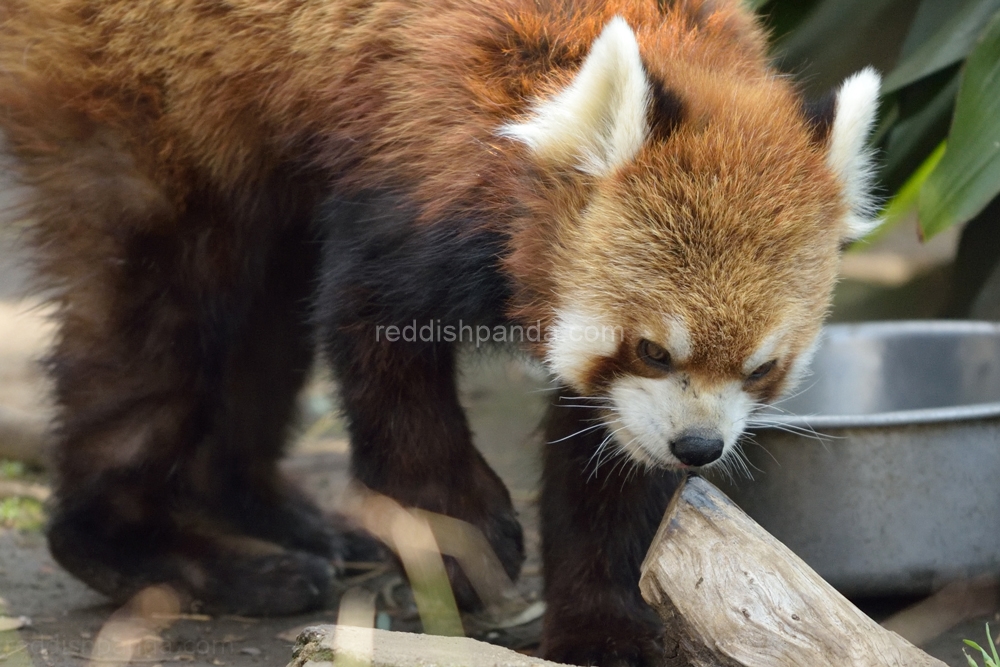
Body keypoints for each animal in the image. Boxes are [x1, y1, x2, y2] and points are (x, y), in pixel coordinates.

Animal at [0, 0, 876, 664]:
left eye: (762, 368)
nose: (698, 447)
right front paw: (461, 533)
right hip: (147, 94)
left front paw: (603, 624)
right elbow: (372, 338)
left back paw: (270, 515)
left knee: (264, 314)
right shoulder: (413, 161)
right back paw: (149, 547)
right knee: (156, 312)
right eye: (655, 348)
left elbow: (611, 462)